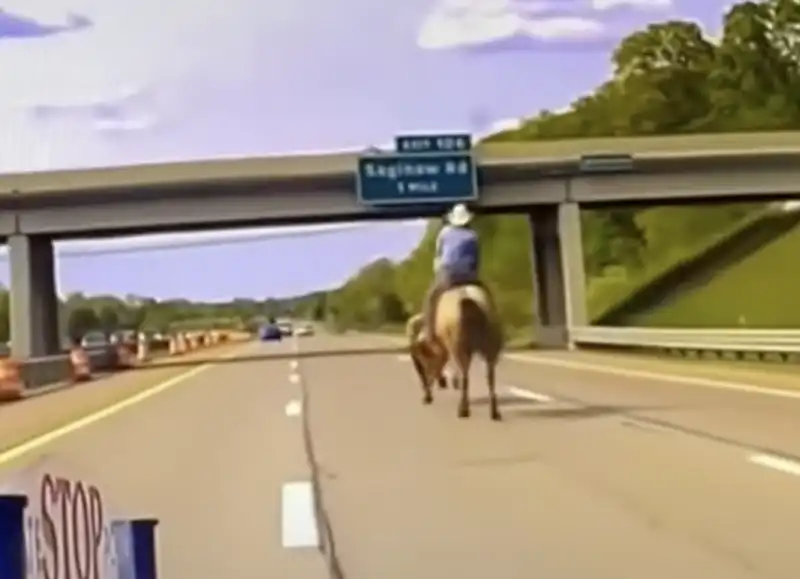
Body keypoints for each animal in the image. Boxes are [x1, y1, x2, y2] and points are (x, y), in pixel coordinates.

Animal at [410, 286, 504, 422]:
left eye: (423, 359)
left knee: (465, 376)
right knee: (490, 377)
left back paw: (463, 410)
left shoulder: (443, 353)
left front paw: (429, 395)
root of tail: (469, 300)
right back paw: (494, 412)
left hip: (461, 348)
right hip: (490, 347)